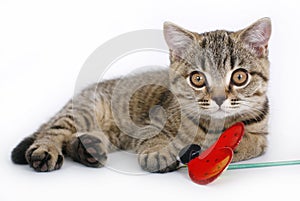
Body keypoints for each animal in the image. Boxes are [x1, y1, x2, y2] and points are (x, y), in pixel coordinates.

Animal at [11, 17, 272, 173]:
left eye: (239, 77)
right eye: (197, 79)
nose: (218, 99)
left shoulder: (260, 136)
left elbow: (248, 143)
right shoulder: (152, 122)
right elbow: (155, 137)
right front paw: (159, 152)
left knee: (74, 140)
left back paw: (87, 149)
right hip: (84, 112)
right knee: (52, 132)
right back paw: (45, 151)